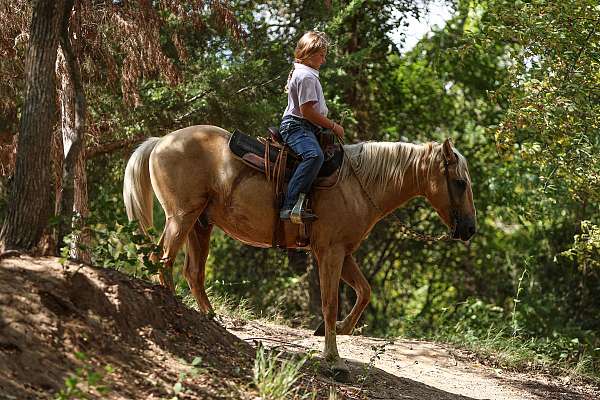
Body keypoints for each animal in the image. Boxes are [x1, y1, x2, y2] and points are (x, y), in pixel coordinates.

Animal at [124, 126, 476, 376]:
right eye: (460, 183)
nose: (470, 229)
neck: (357, 185)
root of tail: (161, 141)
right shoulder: (330, 252)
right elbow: (330, 303)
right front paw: (334, 361)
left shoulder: (344, 253)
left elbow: (364, 292)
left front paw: (339, 331)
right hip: (181, 217)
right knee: (162, 259)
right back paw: (172, 305)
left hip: (200, 224)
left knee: (192, 272)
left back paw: (209, 319)